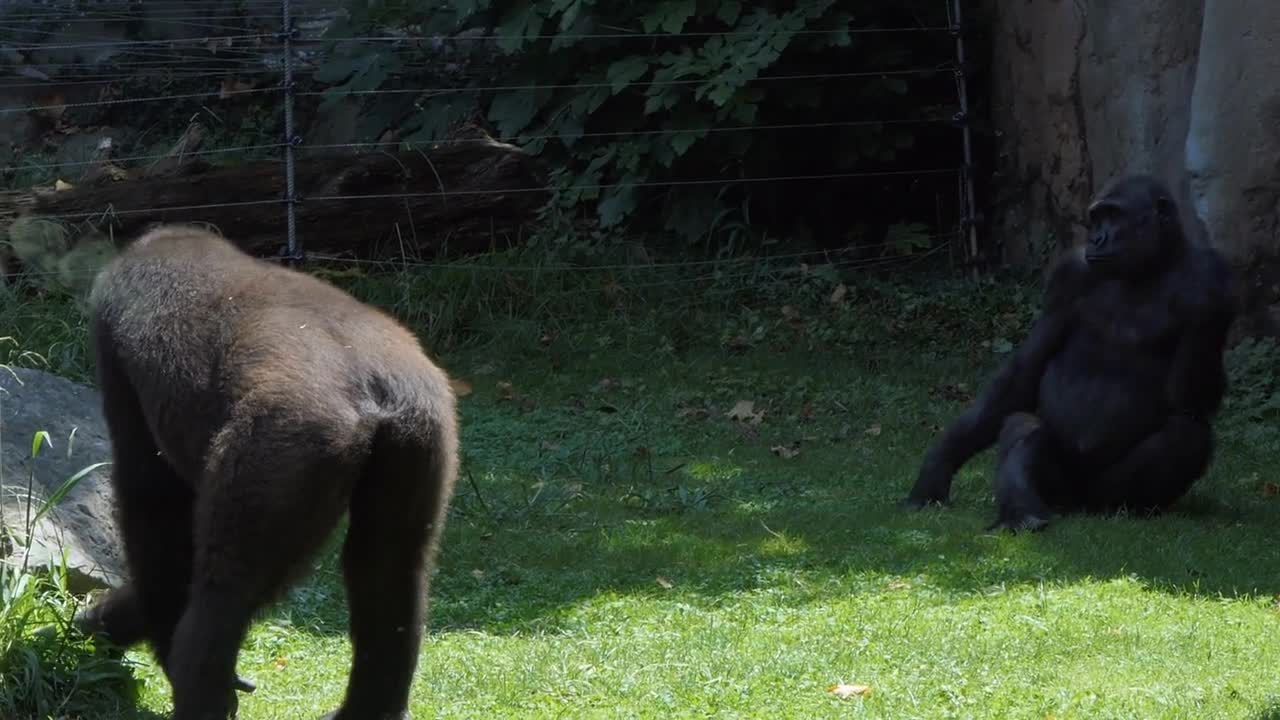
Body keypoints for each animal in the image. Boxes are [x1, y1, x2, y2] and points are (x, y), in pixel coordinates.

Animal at [901, 172, 1239, 527]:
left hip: (1100, 497)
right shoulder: (1069, 274)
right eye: (1097, 218)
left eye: (1115, 215)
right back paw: (1024, 510)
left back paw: (1124, 507)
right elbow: (1023, 374)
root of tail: (1079, 506)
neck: (1154, 264)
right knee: (1023, 424)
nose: (1097, 239)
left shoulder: (1216, 277)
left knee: (1185, 434)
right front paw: (938, 465)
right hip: (1059, 492)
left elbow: (1191, 401)